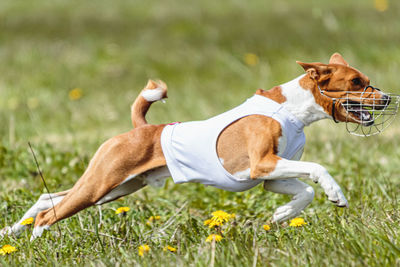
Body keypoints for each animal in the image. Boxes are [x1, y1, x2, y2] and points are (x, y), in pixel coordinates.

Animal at [0, 52, 390, 241]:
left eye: (367, 80)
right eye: (356, 82)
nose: (386, 98)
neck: (292, 110)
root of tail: (143, 128)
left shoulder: (272, 177)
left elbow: (304, 192)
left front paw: (282, 214)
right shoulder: (262, 163)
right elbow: (318, 170)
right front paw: (335, 193)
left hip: (116, 187)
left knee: (47, 198)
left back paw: (11, 232)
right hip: (103, 184)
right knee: (50, 212)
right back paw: (36, 237)